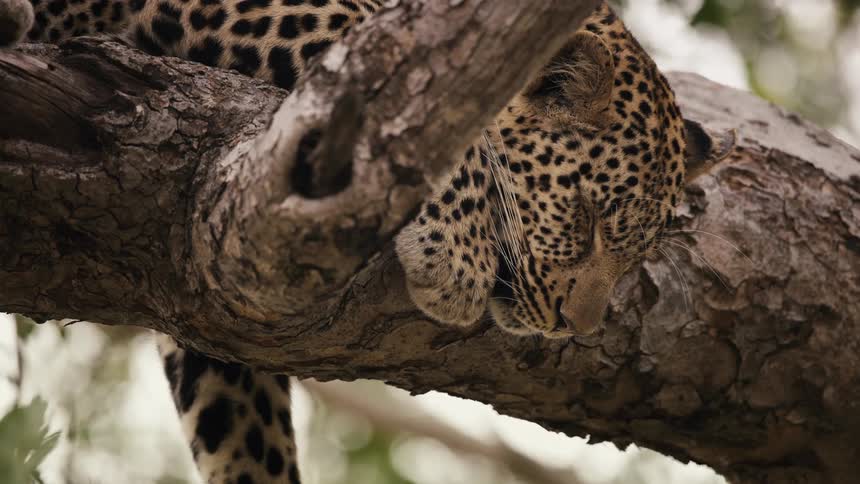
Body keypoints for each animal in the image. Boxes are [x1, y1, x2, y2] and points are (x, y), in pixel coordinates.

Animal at [0, 0, 732, 482]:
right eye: (592, 218)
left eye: (634, 253)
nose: (573, 326)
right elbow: (384, 63)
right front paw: (456, 253)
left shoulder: (202, 292)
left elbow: (245, 430)